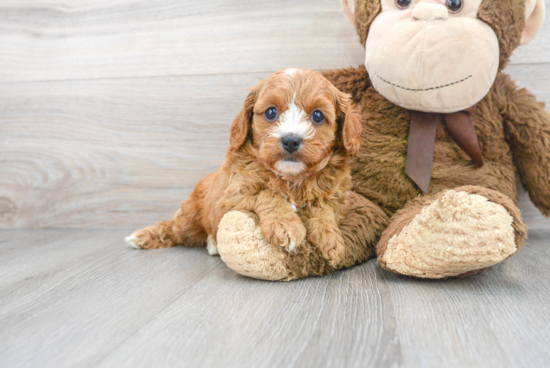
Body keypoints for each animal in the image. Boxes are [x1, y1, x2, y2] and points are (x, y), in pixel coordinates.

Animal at [127, 67, 364, 266]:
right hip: (190, 216)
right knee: (174, 229)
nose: (290, 140)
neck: (290, 178)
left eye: (317, 115)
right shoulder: (233, 194)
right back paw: (141, 237)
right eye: (271, 112)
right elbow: (268, 194)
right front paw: (286, 225)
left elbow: (323, 210)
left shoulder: (335, 198)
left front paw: (331, 240)